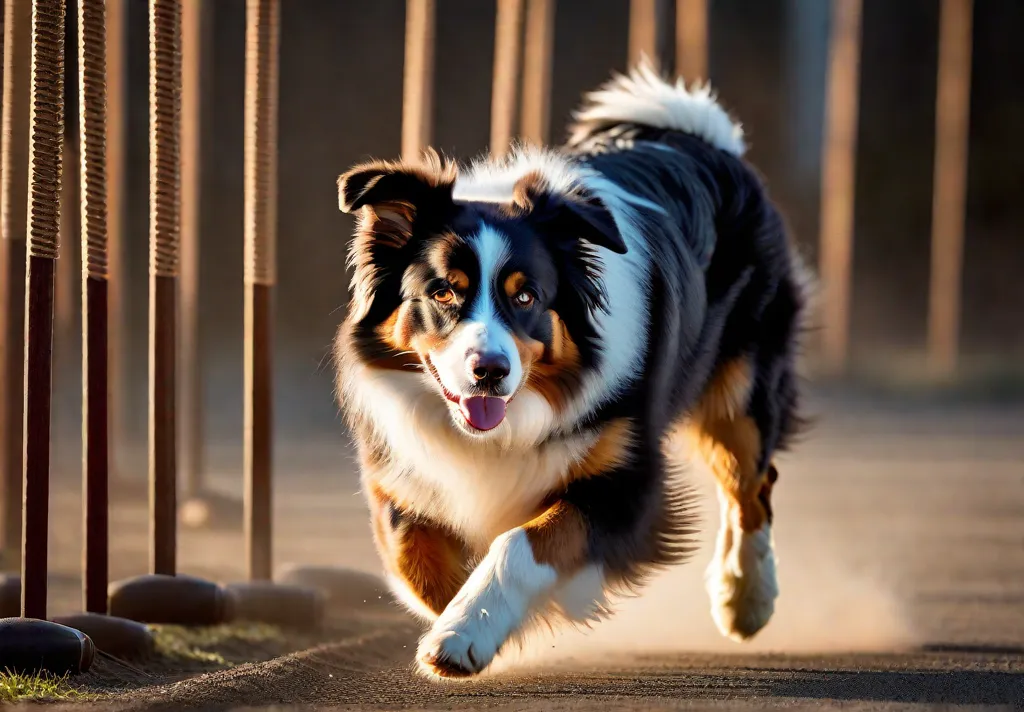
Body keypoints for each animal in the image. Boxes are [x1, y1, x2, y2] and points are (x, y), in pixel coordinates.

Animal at [333, 65, 806, 680]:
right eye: (443, 293)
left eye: (527, 296)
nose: (489, 372)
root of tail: (698, 136)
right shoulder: (401, 469)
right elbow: (411, 553)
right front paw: (471, 618)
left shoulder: (627, 481)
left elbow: (522, 543)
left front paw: (465, 632)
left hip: (743, 385)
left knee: (750, 482)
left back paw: (745, 599)